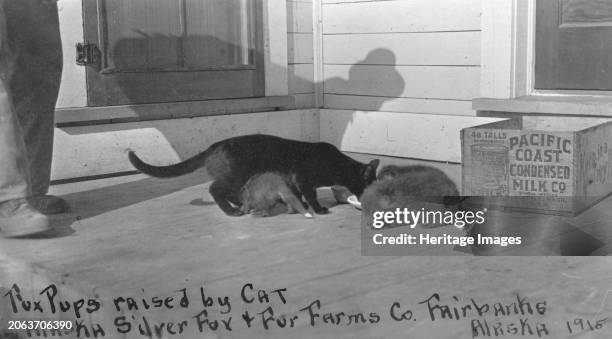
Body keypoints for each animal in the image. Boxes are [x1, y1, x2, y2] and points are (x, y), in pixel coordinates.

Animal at [128, 134, 378, 216]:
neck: (336, 164)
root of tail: (214, 146)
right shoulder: (304, 179)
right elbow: (311, 196)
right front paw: (319, 209)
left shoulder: (295, 182)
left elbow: (298, 196)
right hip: (234, 175)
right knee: (214, 189)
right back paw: (231, 212)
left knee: (228, 192)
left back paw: (239, 205)